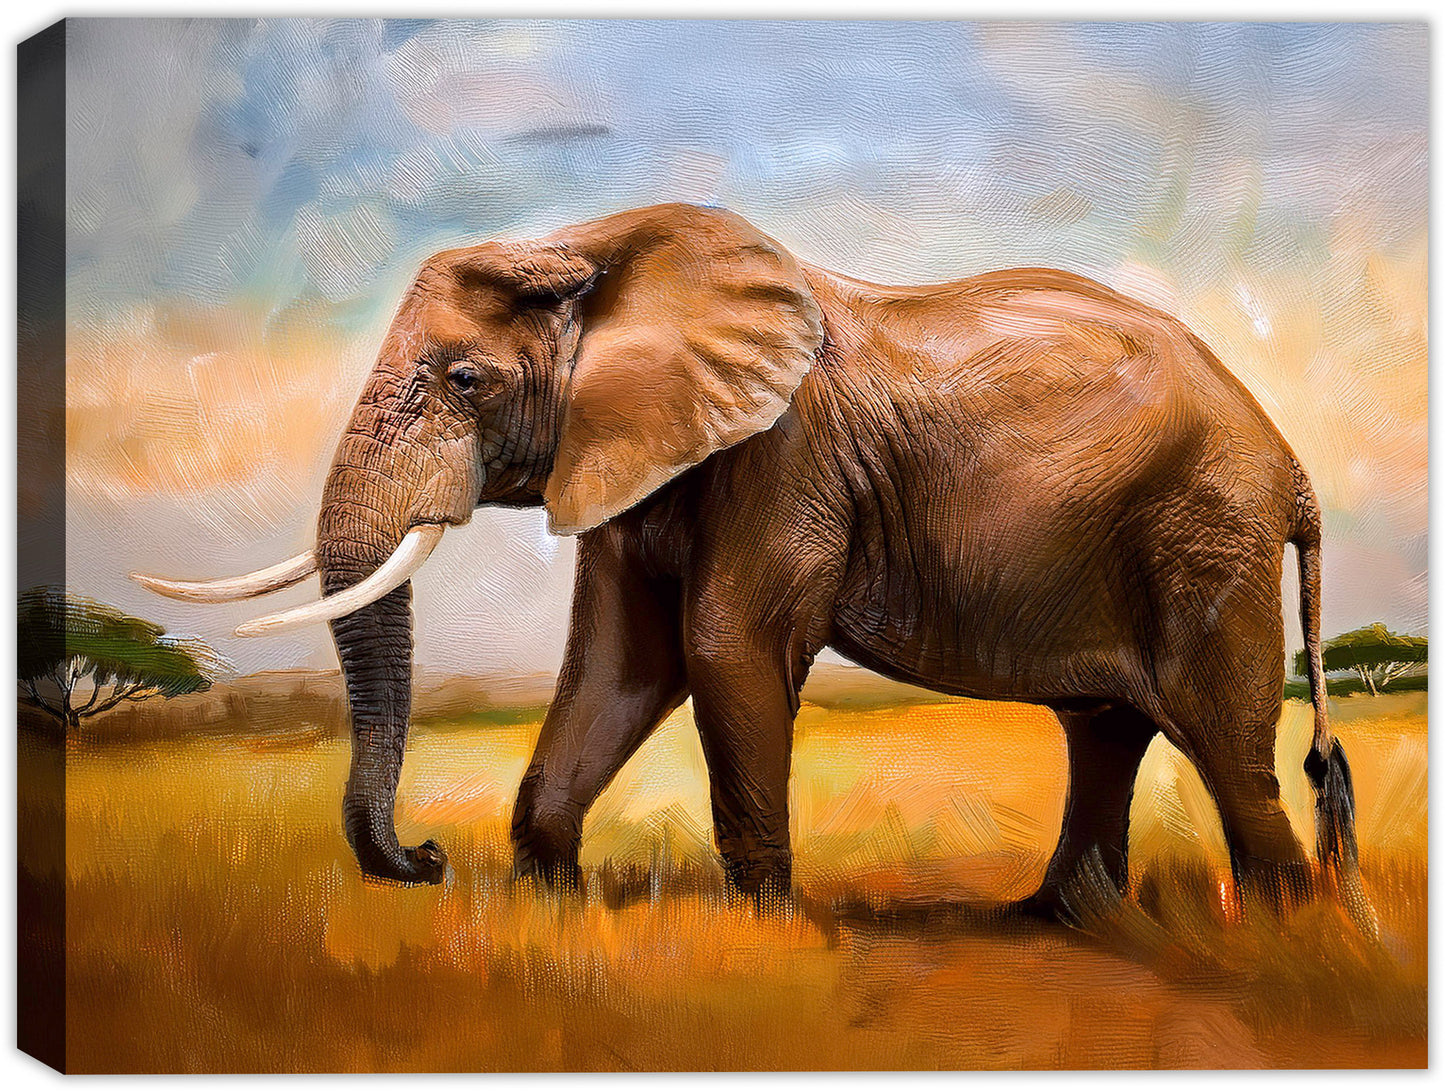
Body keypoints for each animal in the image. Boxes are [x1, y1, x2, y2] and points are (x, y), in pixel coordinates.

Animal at [136, 202, 1364, 922]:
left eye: (465, 382)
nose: (430, 857)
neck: (594, 244)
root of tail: (1291, 464)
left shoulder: (783, 455)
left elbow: (722, 651)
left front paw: (767, 929)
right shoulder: (633, 454)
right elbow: (621, 666)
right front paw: (550, 908)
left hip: (1202, 534)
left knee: (1222, 740)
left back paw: (1280, 926)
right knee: (1104, 727)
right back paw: (1056, 921)